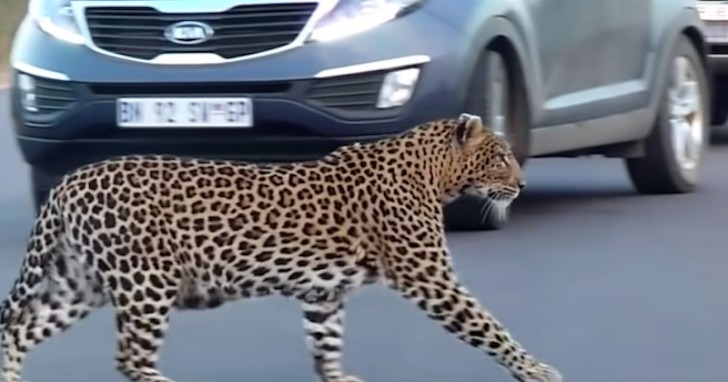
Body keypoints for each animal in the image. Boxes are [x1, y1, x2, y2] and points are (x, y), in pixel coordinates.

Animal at [0, 112, 564, 380]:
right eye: (500, 158)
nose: (521, 186)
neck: (433, 173)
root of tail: (69, 181)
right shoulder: (430, 277)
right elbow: (487, 327)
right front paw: (536, 371)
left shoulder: (323, 293)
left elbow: (325, 345)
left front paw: (339, 380)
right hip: (145, 282)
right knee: (129, 359)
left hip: (80, 283)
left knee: (19, 331)